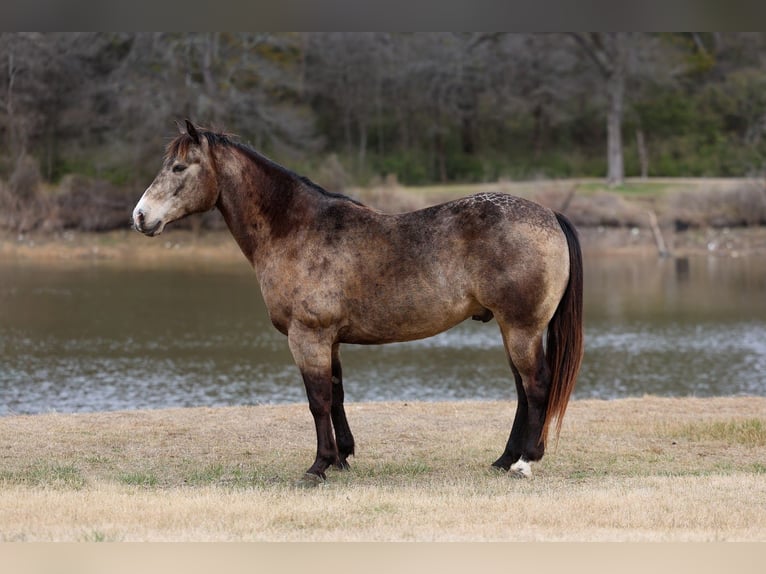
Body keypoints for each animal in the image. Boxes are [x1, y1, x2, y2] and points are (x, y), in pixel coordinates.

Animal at [132, 120, 584, 483]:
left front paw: (318, 467)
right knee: (523, 391)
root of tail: (550, 214)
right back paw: (504, 459)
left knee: (536, 387)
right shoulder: (328, 340)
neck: (295, 228)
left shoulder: (307, 337)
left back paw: (525, 462)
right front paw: (342, 457)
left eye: (178, 168)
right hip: (513, 329)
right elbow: (336, 395)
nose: (139, 216)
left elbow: (317, 401)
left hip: (521, 329)